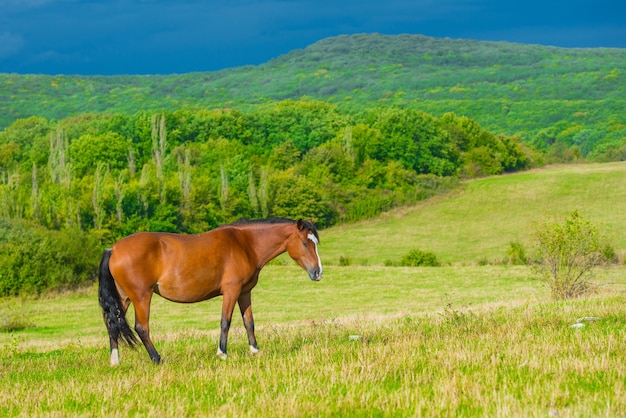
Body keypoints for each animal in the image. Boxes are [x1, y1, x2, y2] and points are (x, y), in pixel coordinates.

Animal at [97, 217, 322, 364]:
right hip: (141, 296)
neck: (245, 244)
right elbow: (225, 322)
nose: (318, 272)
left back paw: (115, 361)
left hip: (124, 298)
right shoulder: (231, 291)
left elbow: (249, 322)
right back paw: (157, 358)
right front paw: (222, 353)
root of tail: (113, 249)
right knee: (142, 328)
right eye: (305, 243)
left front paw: (255, 350)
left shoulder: (244, 292)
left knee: (111, 324)